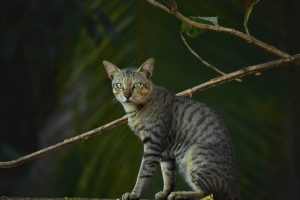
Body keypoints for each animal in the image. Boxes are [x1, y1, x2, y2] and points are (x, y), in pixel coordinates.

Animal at [102, 58, 239, 200]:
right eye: (119, 85)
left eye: (137, 85)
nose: (127, 95)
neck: (135, 111)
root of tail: (233, 187)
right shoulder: (165, 152)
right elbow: (168, 175)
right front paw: (165, 192)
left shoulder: (153, 144)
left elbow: (144, 174)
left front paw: (134, 194)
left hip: (195, 156)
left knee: (208, 193)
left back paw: (179, 194)